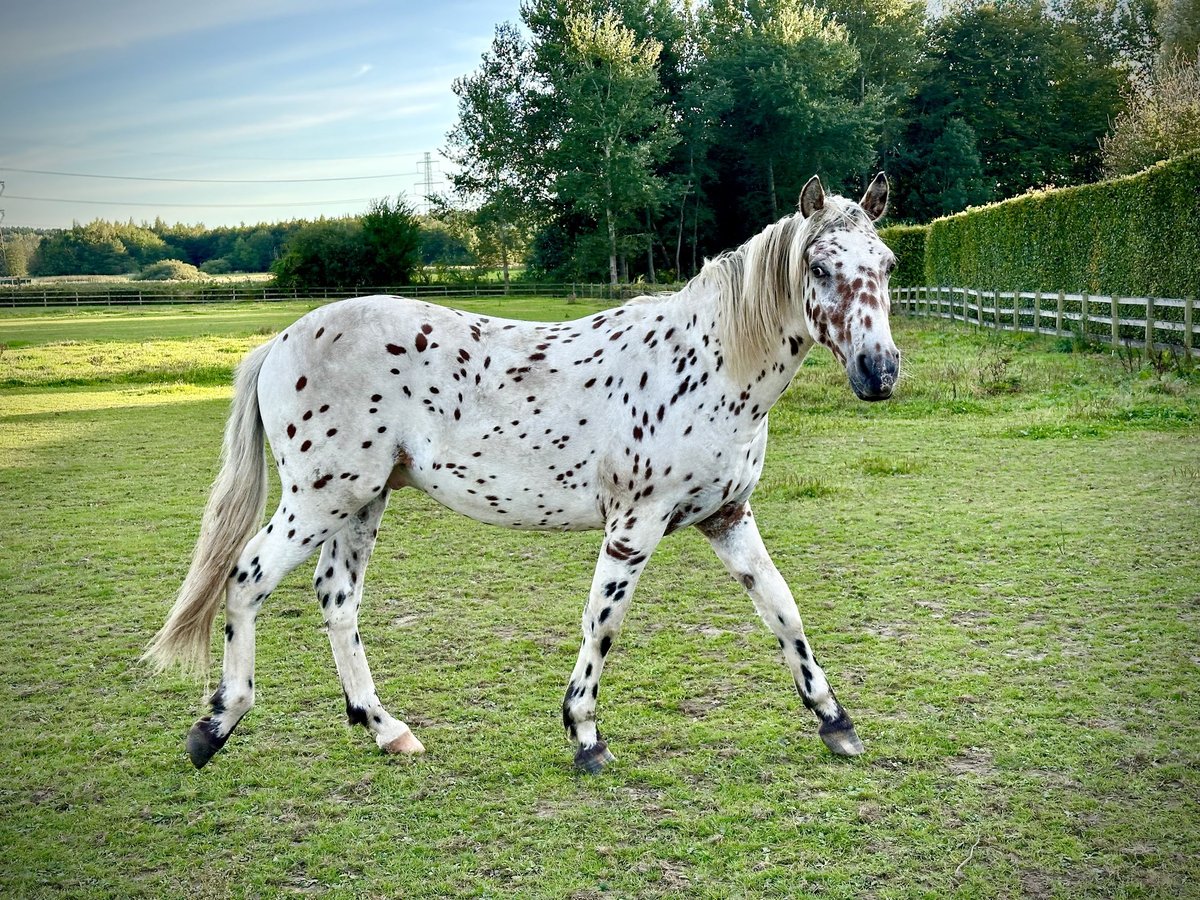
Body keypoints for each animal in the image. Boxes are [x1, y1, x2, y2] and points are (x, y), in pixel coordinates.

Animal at [145, 173, 901, 774]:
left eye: (888, 264)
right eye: (820, 267)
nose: (881, 371)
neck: (705, 364)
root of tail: (278, 342)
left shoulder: (727, 518)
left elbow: (782, 609)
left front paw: (836, 723)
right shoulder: (635, 526)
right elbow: (603, 623)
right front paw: (586, 737)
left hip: (358, 504)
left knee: (336, 599)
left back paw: (387, 730)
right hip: (318, 499)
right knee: (247, 580)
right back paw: (216, 725)